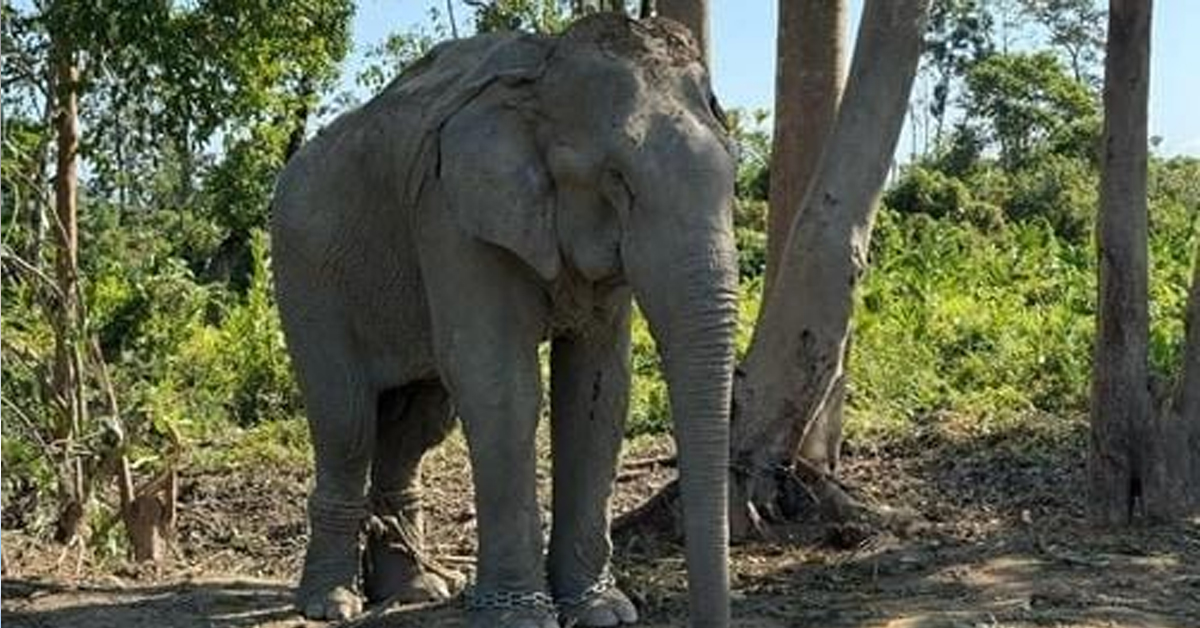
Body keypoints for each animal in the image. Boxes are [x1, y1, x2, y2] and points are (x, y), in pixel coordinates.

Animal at [270, 13, 738, 628]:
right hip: (306, 273)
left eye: (736, 175)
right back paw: (333, 604)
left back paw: (416, 591)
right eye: (617, 180)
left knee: (417, 423)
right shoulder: (451, 212)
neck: (544, 72)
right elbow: (498, 382)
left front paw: (603, 612)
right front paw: (522, 618)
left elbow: (599, 389)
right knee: (345, 419)